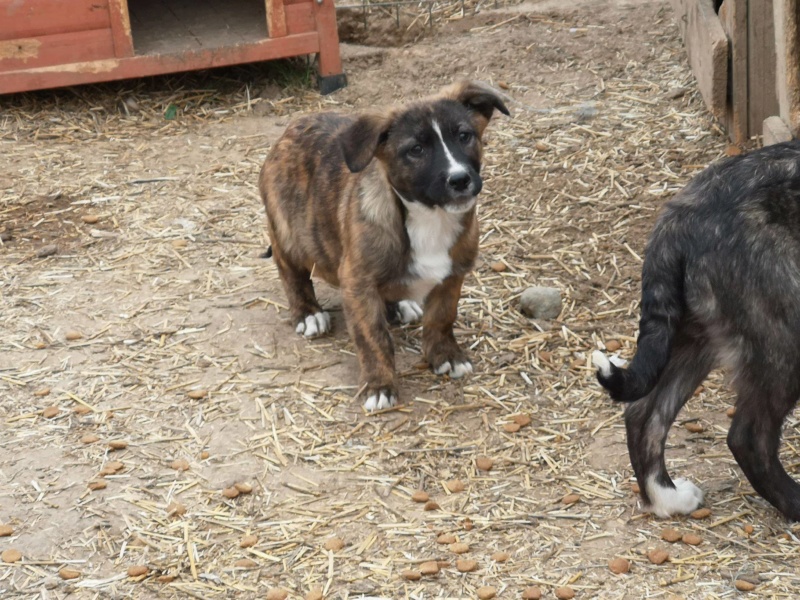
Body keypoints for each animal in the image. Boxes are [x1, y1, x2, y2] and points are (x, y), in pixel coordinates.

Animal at [592, 141, 800, 520]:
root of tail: (678, 219)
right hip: (783, 336)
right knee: (748, 438)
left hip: (695, 333)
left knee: (643, 414)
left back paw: (667, 500)